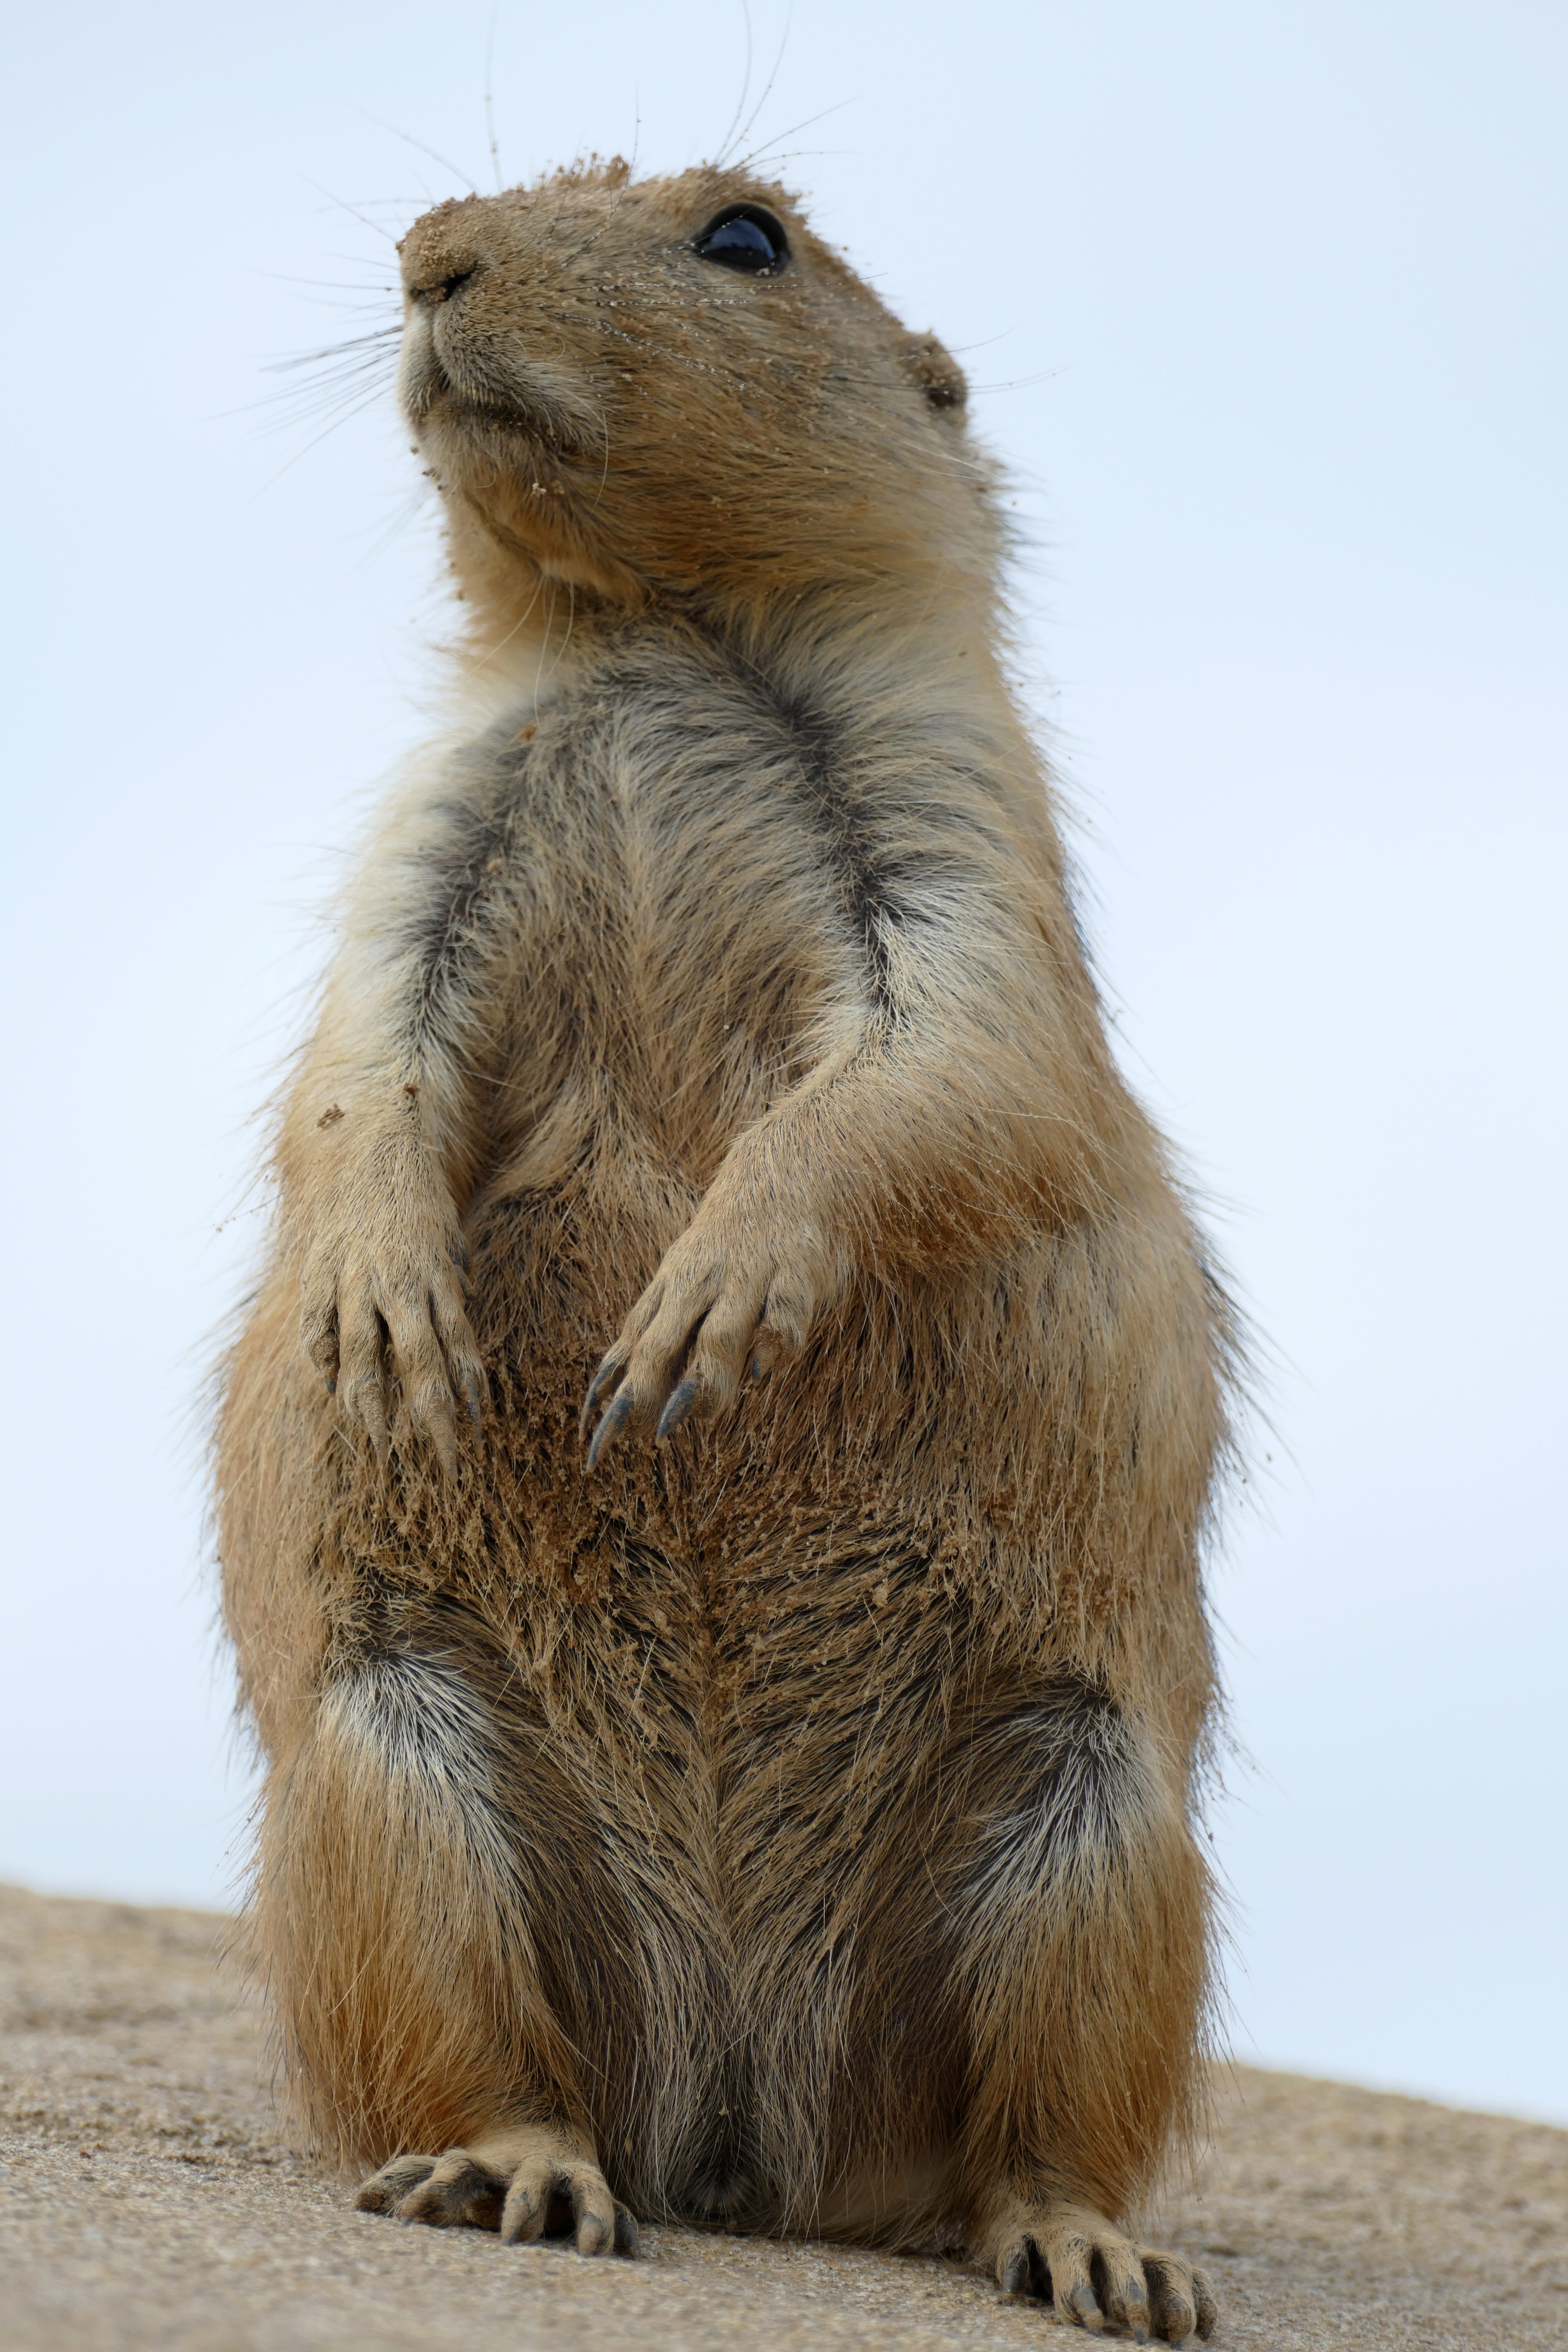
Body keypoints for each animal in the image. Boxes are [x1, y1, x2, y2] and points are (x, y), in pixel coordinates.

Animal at [215, 158, 1234, 2343]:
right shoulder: (428, 823)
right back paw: (518, 2172)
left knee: (1018, 2142)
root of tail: (742, 2111)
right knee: (499, 2067)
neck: (658, 632)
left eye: (749, 236)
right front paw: (385, 1316)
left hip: (1090, 1822)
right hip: (398, 1776)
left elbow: (942, 1068)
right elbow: (359, 1059)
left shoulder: (959, 821)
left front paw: (699, 1312)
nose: (426, 252)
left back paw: (1097, 2251)